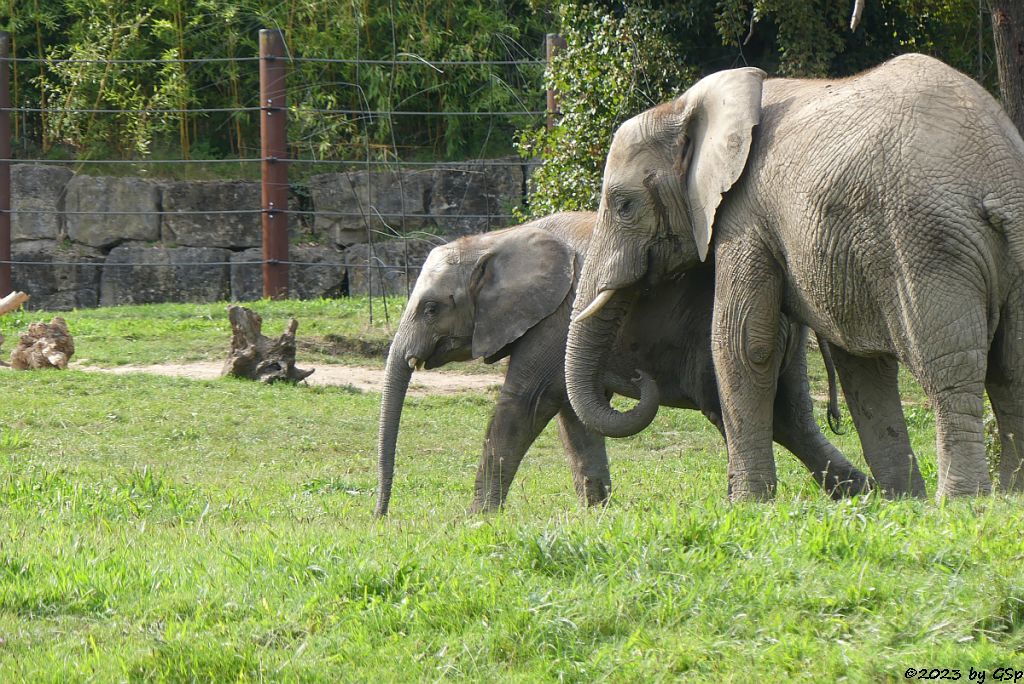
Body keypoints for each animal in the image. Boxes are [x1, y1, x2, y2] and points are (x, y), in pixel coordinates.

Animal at [372, 210, 868, 516]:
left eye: (431, 308)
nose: (380, 516)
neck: (496, 241)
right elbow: (571, 416)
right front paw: (596, 514)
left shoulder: (557, 318)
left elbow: (527, 403)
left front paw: (476, 518)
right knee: (792, 420)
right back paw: (864, 496)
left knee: (739, 413)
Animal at [569, 53, 1024, 499]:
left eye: (624, 205)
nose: (639, 376)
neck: (684, 106)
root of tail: (996, 177)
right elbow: (859, 364)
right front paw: (903, 500)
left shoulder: (744, 215)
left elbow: (742, 343)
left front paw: (748, 503)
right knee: (1010, 369)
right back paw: (1010, 494)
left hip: (927, 245)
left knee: (948, 369)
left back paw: (965, 500)